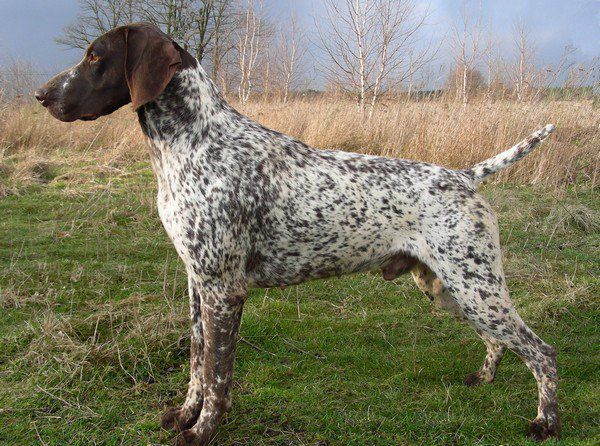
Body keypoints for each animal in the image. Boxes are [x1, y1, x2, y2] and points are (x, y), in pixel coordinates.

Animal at [36, 22, 564, 444]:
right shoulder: (197, 284)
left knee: (542, 352)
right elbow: (196, 362)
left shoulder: (224, 291)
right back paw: (485, 378)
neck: (191, 143)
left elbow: (217, 376)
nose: (41, 95)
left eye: (96, 56)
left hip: (475, 286)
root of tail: (466, 175)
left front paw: (203, 431)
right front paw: (185, 416)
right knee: (499, 342)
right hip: (448, 287)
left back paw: (546, 423)